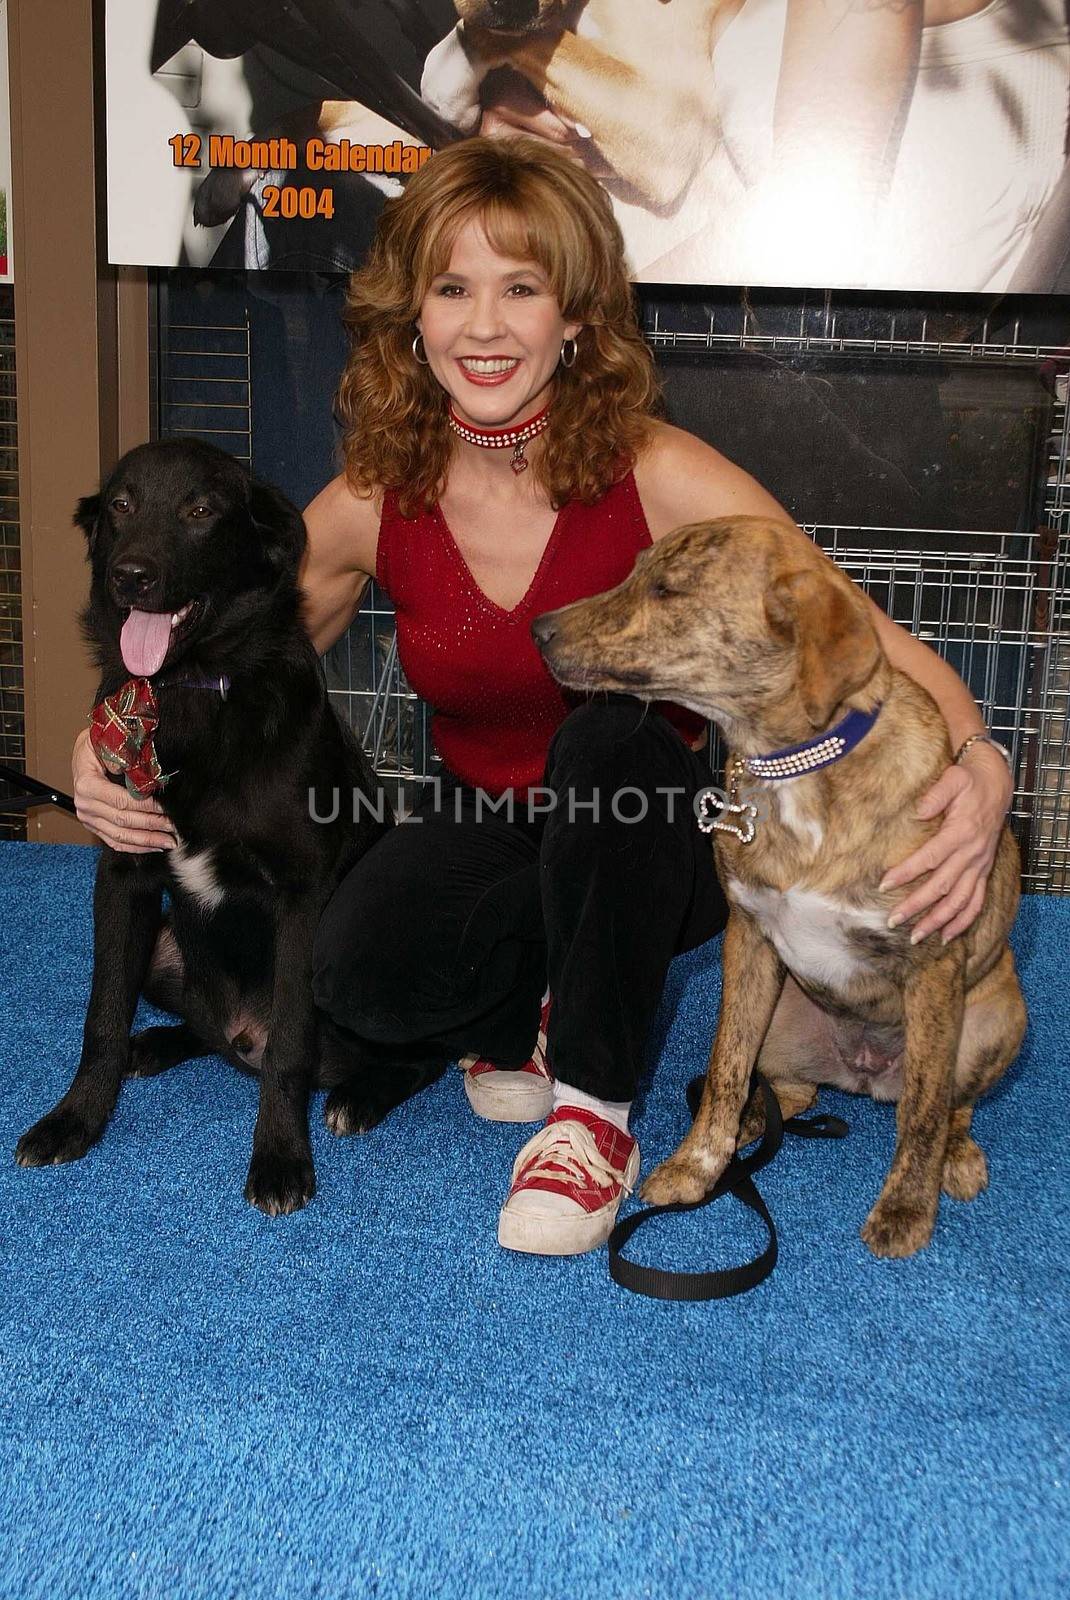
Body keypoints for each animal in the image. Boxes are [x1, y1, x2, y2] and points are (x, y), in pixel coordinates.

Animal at [14, 438, 438, 1209]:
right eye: (121, 505)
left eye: (201, 510)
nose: (131, 576)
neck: (193, 689)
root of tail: (241, 1033)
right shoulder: (123, 875)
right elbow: (101, 1016)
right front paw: (75, 1121)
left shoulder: (304, 894)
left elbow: (291, 1047)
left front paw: (279, 1157)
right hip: (161, 949)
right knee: (196, 1027)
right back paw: (155, 1045)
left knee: (427, 1055)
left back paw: (359, 1096)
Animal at [534, 518, 1023, 1254]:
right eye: (636, 571)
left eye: (667, 589)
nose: (538, 628)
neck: (795, 767)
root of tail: (864, 1075)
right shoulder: (749, 942)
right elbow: (725, 1070)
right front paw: (697, 1166)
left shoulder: (933, 963)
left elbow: (925, 1110)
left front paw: (907, 1209)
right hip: (785, 1019)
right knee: (788, 1093)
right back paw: (755, 1127)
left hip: (993, 1019)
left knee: (946, 1102)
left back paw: (956, 1157)